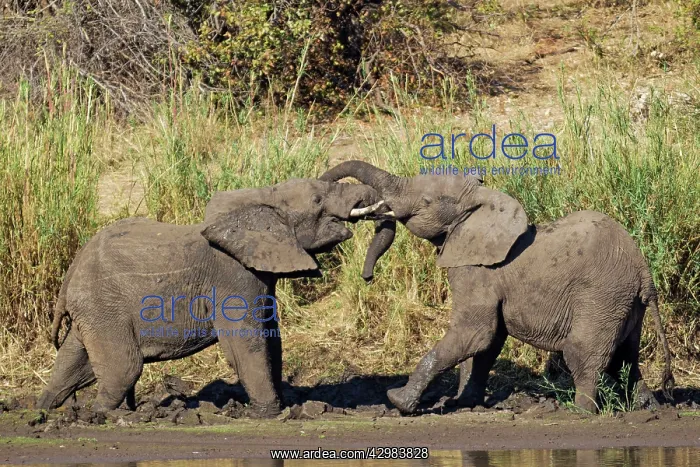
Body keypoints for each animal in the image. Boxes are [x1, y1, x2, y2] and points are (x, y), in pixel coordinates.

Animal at [37, 178, 384, 416]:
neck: (264, 198)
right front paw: (270, 414)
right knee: (125, 366)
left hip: (93, 307)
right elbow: (245, 341)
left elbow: (272, 339)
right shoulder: (232, 276)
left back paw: (44, 412)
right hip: (104, 304)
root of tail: (72, 270)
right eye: (317, 200)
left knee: (74, 359)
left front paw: (282, 406)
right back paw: (106, 416)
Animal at [320, 161, 674, 414]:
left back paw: (579, 412)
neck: (483, 201)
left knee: (584, 354)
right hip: (626, 303)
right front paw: (462, 404)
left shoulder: (478, 273)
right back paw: (647, 409)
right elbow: (487, 343)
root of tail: (644, 270)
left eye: (427, 200)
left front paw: (398, 401)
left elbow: (477, 333)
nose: (367, 277)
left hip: (601, 296)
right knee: (625, 357)